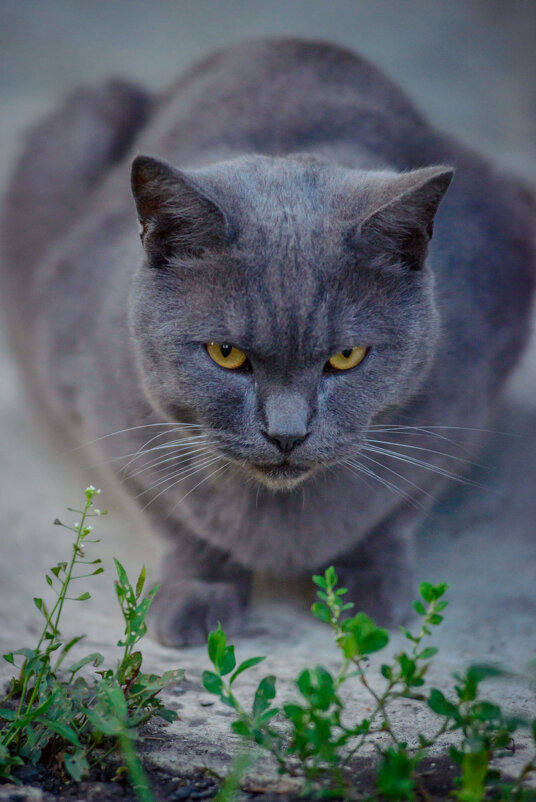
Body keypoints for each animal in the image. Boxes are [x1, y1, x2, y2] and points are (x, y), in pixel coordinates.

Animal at [2, 40, 532, 648]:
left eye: (346, 357)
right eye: (226, 354)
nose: (287, 435)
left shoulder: (463, 406)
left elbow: (396, 510)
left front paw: (370, 592)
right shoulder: (97, 411)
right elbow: (177, 521)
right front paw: (199, 595)